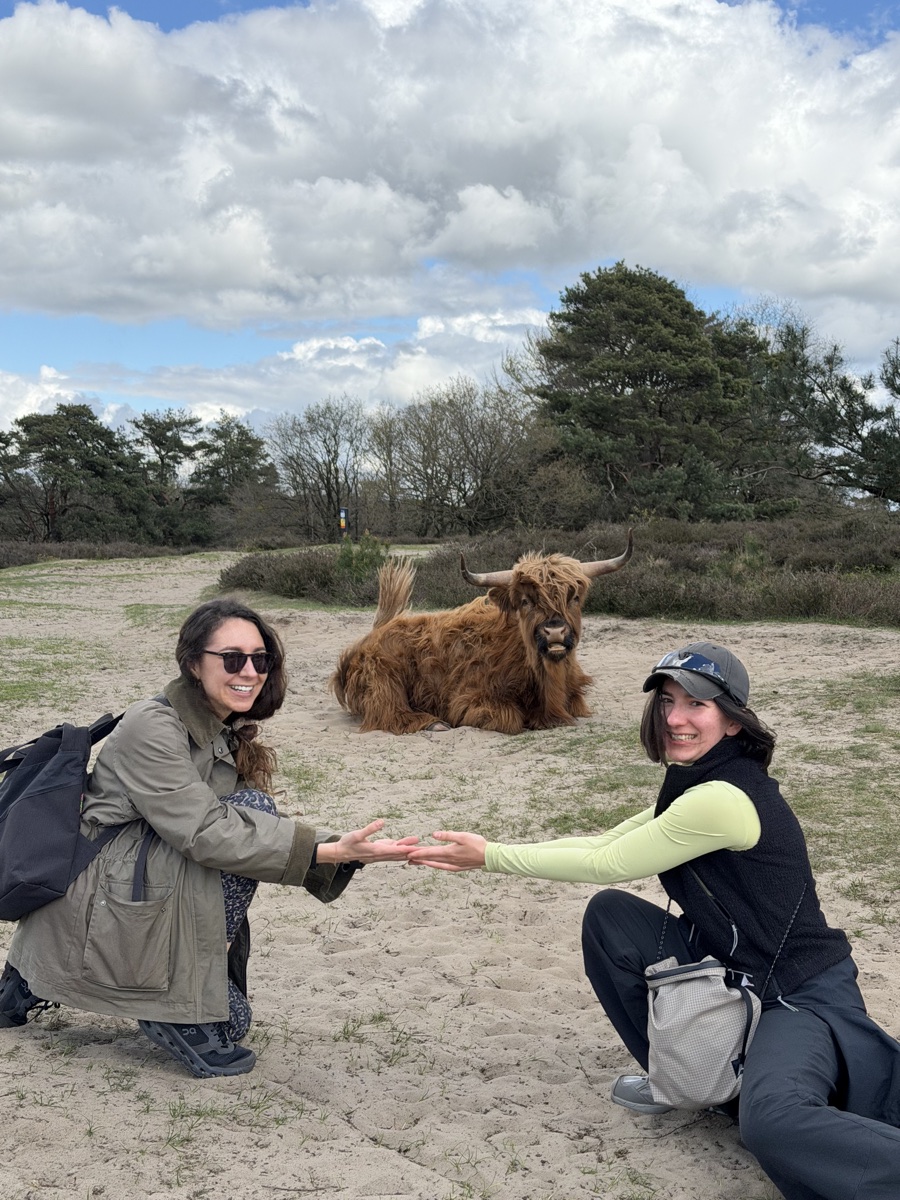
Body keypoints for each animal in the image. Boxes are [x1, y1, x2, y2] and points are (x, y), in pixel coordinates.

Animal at [330, 531, 633, 734]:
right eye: (525, 601)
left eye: (575, 597)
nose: (555, 630)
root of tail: (370, 637)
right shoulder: (468, 700)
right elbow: (511, 718)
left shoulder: (575, 697)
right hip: (384, 679)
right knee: (387, 709)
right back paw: (433, 724)